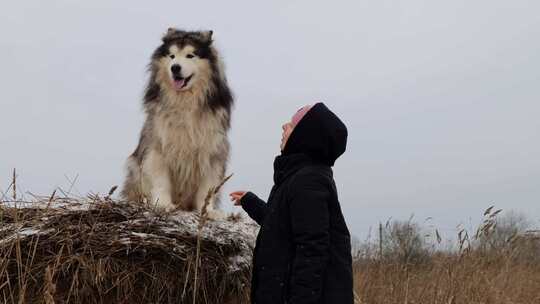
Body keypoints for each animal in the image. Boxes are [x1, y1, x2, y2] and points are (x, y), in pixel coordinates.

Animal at [121, 28, 233, 218]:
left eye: (190, 55)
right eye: (172, 56)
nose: (175, 68)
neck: (184, 100)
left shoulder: (212, 150)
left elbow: (207, 188)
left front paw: (208, 211)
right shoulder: (158, 147)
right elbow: (161, 180)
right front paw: (163, 204)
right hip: (134, 167)